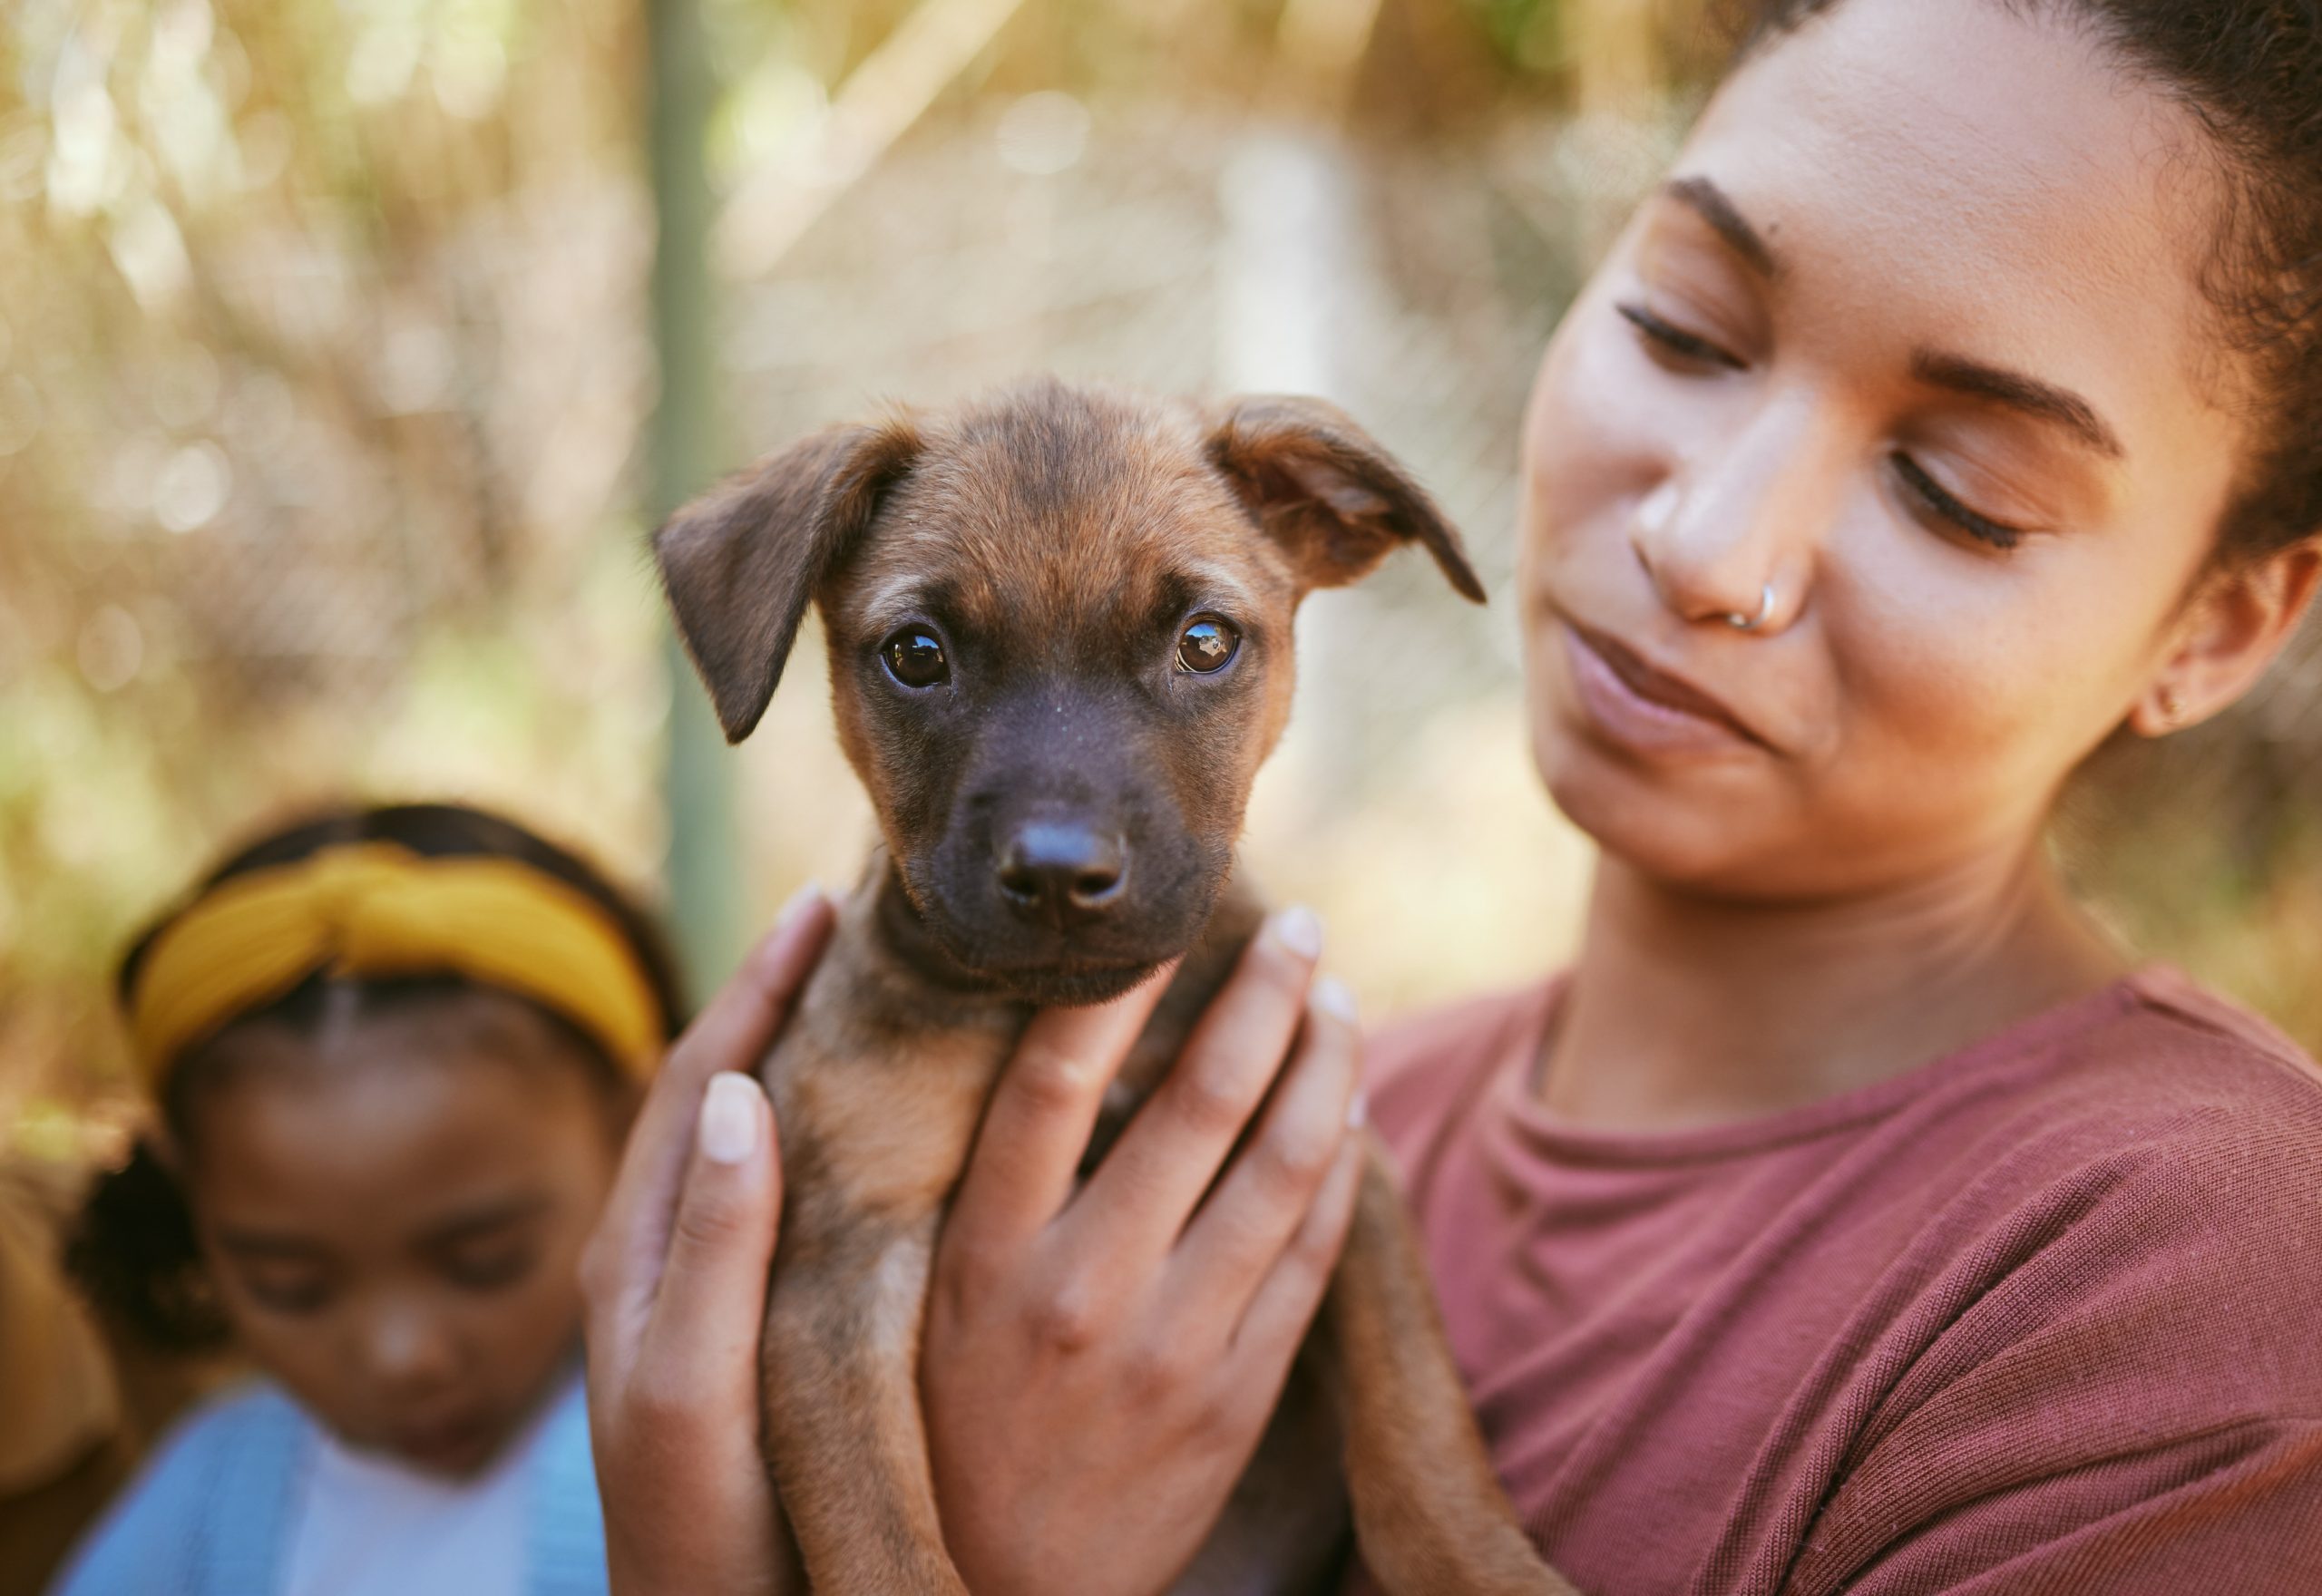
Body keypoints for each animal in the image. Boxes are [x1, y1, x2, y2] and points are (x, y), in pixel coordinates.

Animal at [645, 380, 1569, 1596]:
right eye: (917, 654)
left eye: (1205, 641)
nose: (1056, 873)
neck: (1040, 1014)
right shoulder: (838, 1268)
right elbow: (882, 1544)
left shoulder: (1343, 1171)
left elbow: (1420, 1433)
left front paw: (1491, 1567)